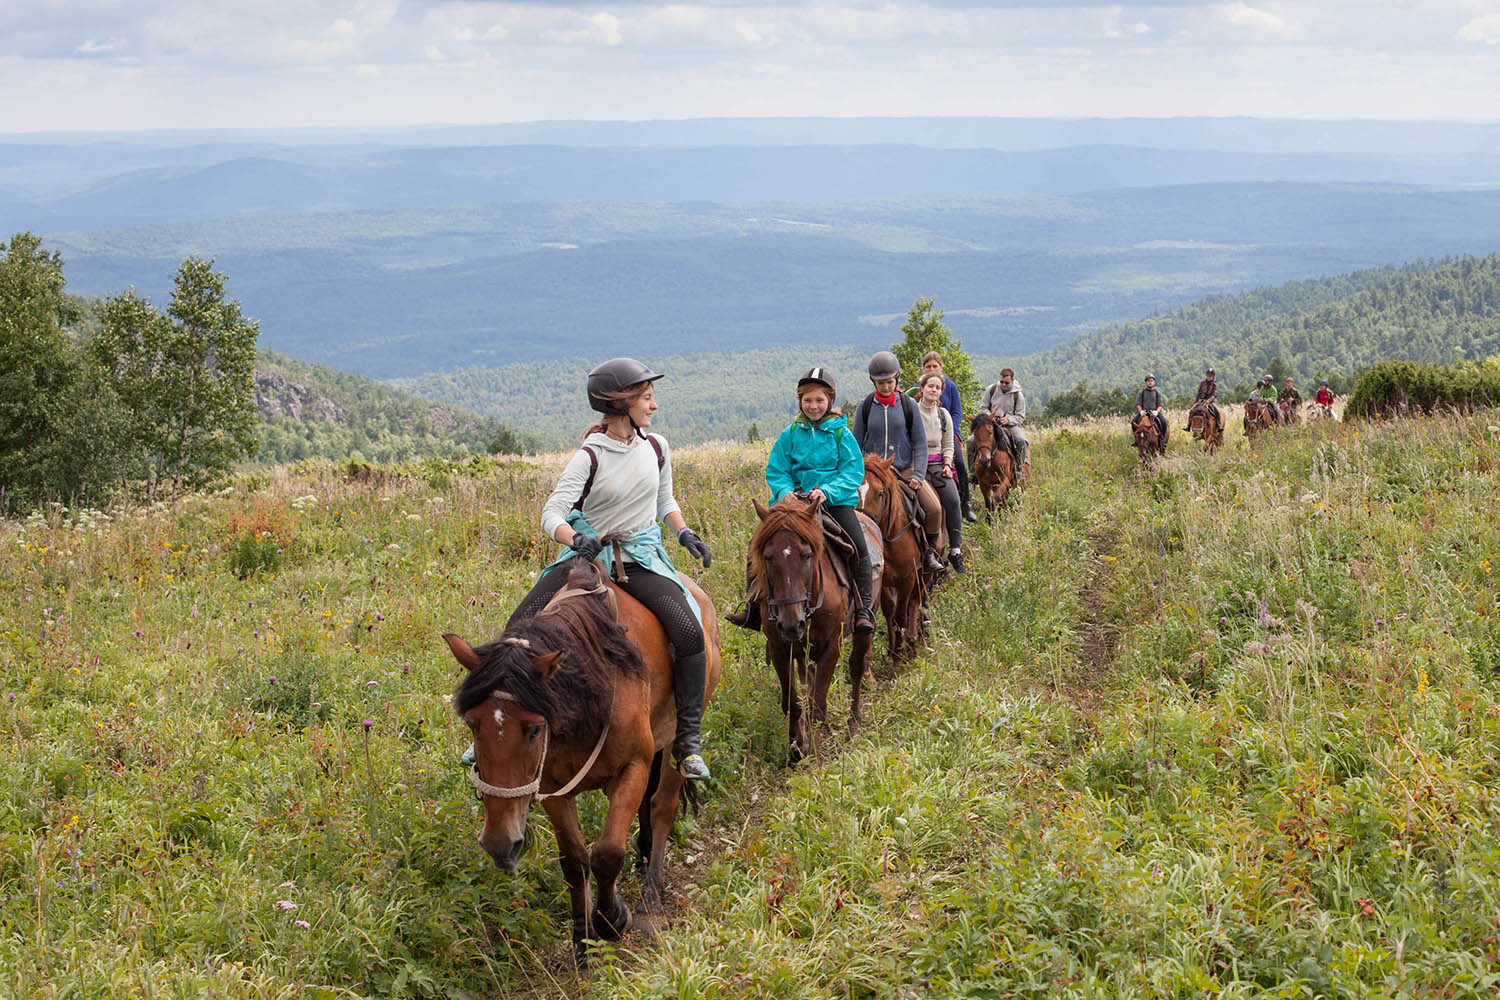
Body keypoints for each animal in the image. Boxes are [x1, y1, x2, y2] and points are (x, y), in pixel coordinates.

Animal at [438, 554, 720, 959]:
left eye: (534, 729)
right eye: (473, 724)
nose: (499, 845)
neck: (591, 688)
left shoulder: (632, 767)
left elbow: (607, 853)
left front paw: (612, 919)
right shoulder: (552, 786)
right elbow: (574, 860)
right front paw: (581, 941)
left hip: (674, 740)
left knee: (663, 806)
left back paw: (651, 894)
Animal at [747, 497, 876, 761]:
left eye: (807, 555)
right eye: (767, 557)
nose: (790, 624)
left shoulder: (831, 647)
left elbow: (818, 704)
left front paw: (816, 753)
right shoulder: (780, 648)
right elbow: (792, 701)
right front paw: (796, 748)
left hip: (863, 629)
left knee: (857, 668)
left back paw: (853, 725)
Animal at [858, 458, 924, 668]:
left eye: (880, 494)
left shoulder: (908, 578)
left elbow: (900, 614)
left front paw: (900, 654)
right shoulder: (883, 581)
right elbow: (889, 612)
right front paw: (892, 650)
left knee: (915, 601)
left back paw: (912, 638)